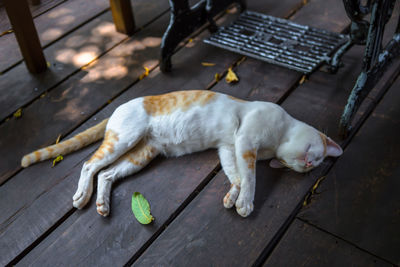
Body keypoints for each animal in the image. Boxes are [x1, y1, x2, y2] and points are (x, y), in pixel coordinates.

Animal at [21, 90, 340, 218]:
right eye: (317, 158)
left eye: (309, 168)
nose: (308, 164)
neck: (277, 139)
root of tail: (117, 108)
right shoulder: (246, 141)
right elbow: (250, 177)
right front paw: (246, 203)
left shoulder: (229, 148)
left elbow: (236, 175)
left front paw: (231, 197)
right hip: (124, 139)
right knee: (89, 165)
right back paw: (82, 196)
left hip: (141, 154)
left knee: (107, 174)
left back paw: (102, 205)